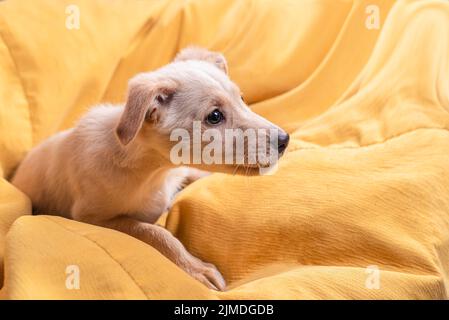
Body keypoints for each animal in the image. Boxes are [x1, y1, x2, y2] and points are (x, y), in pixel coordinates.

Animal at [12, 47, 290, 290]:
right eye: (214, 116)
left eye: (241, 99)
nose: (285, 140)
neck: (153, 173)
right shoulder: (93, 218)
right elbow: (155, 232)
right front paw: (197, 268)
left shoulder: (178, 172)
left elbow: (195, 175)